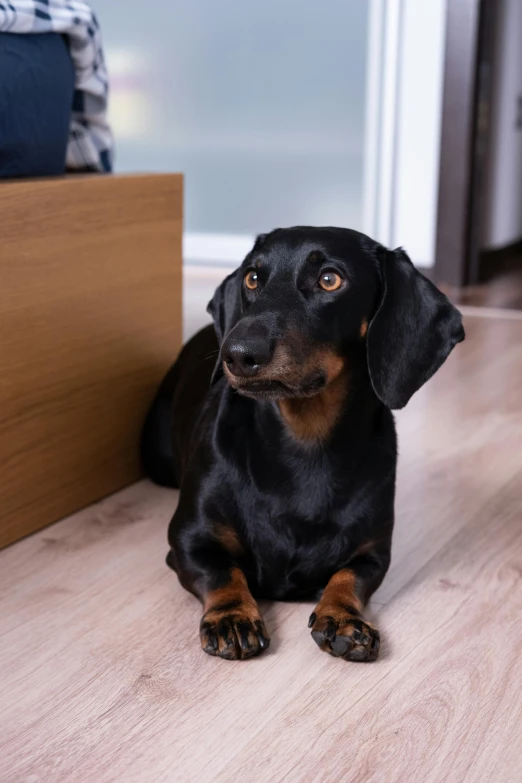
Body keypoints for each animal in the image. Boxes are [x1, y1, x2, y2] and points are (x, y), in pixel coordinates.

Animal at [140, 225, 462, 660]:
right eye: (252, 278)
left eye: (329, 279)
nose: (236, 354)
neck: (305, 442)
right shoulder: (188, 541)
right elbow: (222, 571)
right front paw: (232, 616)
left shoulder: (374, 553)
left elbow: (348, 576)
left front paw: (344, 617)